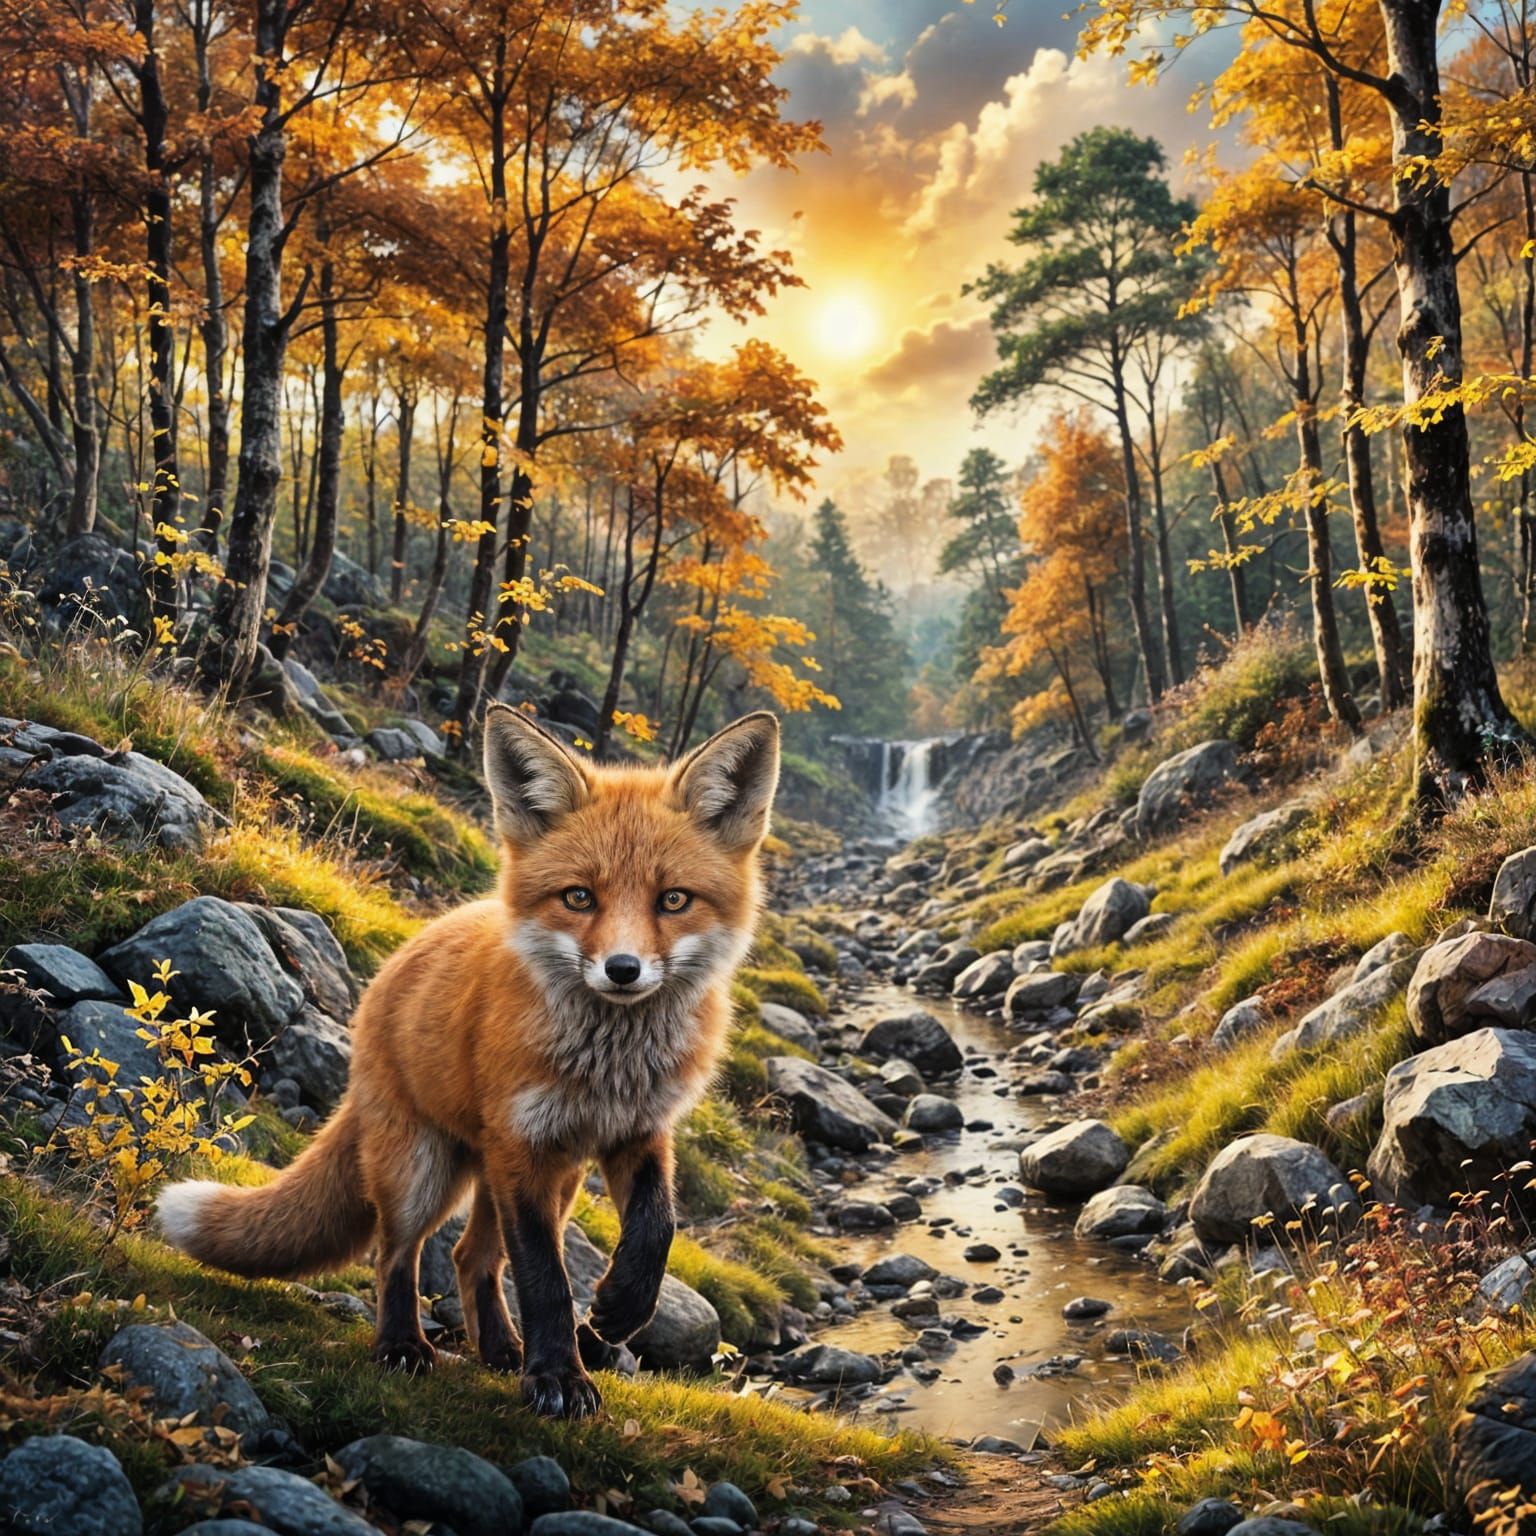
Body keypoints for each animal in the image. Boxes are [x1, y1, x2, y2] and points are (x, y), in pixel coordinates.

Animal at [155, 704, 779, 1419]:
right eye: (579, 897)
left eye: (673, 899)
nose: (623, 970)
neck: (607, 1068)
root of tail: (403, 953)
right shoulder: (524, 1142)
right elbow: (544, 1277)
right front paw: (559, 1377)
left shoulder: (637, 1130)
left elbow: (657, 1228)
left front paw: (617, 1313)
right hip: (425, 1168)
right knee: (396, 1252)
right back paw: (402, 1345)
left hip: (543, 1177)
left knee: (469, 1256)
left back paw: (502, 1350)